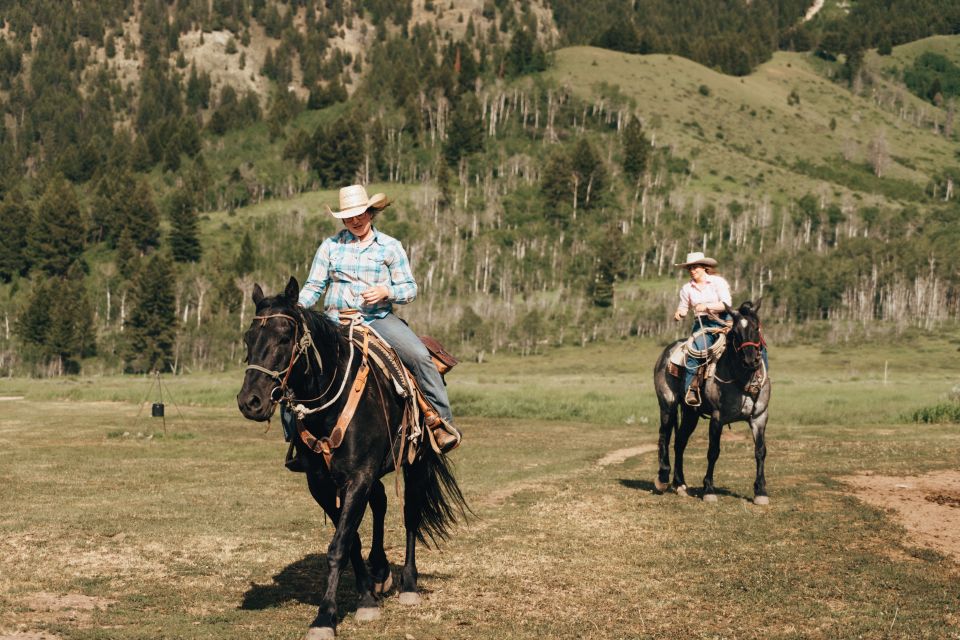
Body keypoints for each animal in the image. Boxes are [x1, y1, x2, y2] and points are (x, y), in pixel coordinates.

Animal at [652, 300, 772, 504]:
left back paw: (680, 484)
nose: (750, 360)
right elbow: (713, 451)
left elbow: (760, 451)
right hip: (667, 406)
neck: (742, 379)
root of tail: (666, 353)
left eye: (757, 327)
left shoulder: (759, 418)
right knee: (664, 436)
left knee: (680, 442)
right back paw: (662, 478)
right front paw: (709, 489)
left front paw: (761, 491)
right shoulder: (717, 418)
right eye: (735, 332)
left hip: (690, 414)